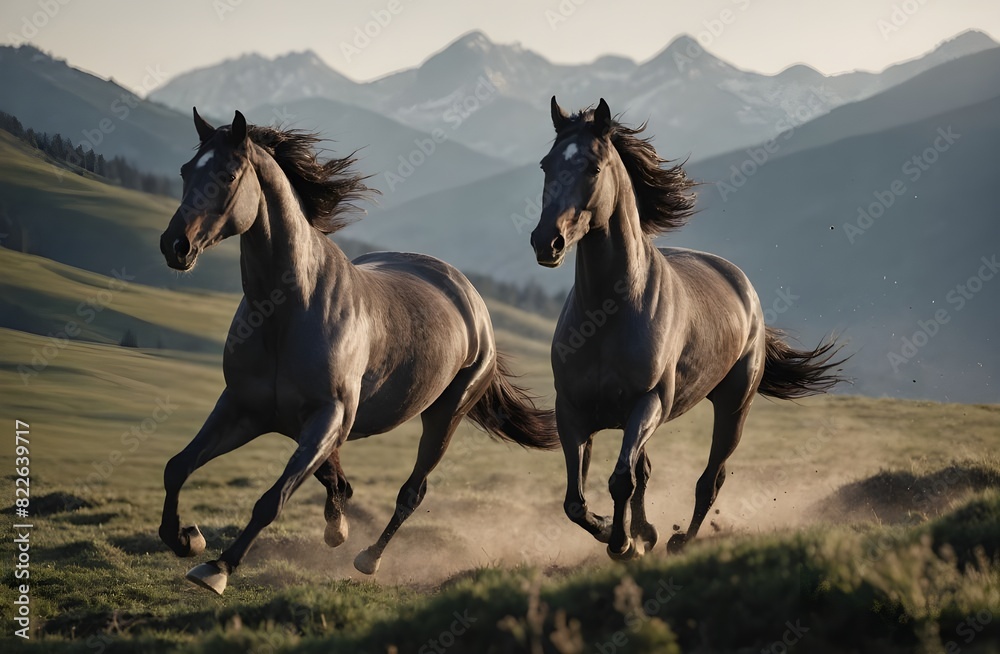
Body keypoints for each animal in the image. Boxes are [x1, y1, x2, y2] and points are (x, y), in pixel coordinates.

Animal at [157, 109, 559, 594]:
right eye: (185, 171)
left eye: (228, 174)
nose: (175, 245)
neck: (286, 311)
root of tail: (469, 296)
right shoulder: (242, 408)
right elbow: (178, 466)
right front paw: (186, 539)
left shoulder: (328, 416)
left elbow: (272, 499)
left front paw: (218, 567)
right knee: (339, 478)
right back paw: (339, 528)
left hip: (445, 414)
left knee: (412, 492)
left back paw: (369, 557)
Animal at [529, 97, 846, 560]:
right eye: (546, 165)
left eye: (593, 167)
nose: (545, 242)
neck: (608, 315)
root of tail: (742, 285)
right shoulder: (571, 411)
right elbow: (576, 501)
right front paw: (620, 533)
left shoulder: (648, 404)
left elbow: (621, 480)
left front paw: (623, 544)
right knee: (646, 472)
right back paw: (650, 532)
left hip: (733, 406)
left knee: (710, 480)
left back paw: (681, 540)